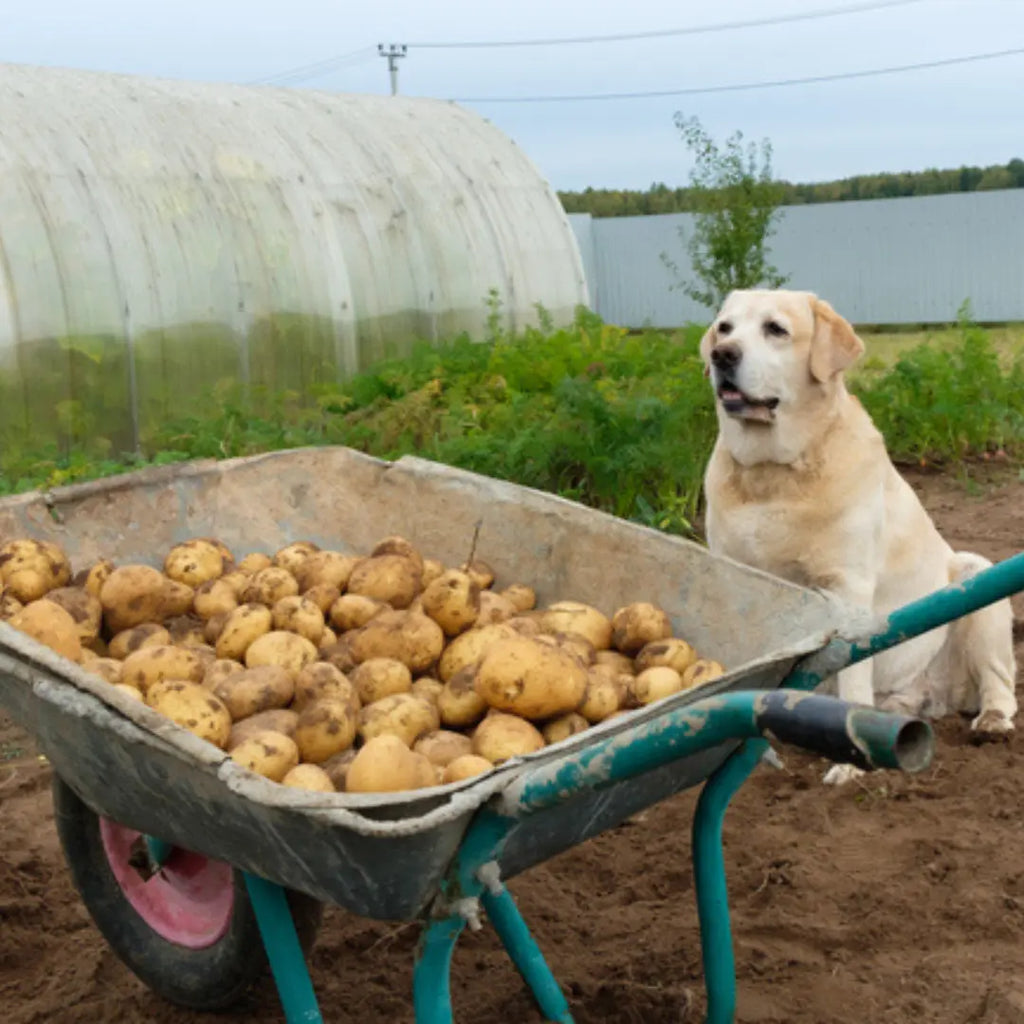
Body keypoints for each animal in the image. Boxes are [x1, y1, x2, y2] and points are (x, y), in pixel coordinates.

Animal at [700, 288, 1011, 782]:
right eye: (724, 328)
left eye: (775, 329)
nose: (721, 355)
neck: (771, 476)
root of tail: (938, 695)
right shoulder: (732, 576)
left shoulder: (848, 587)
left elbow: (849, 673)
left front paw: (849, 767)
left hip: (977, 577)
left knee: (1001, 682)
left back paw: (992, 720)